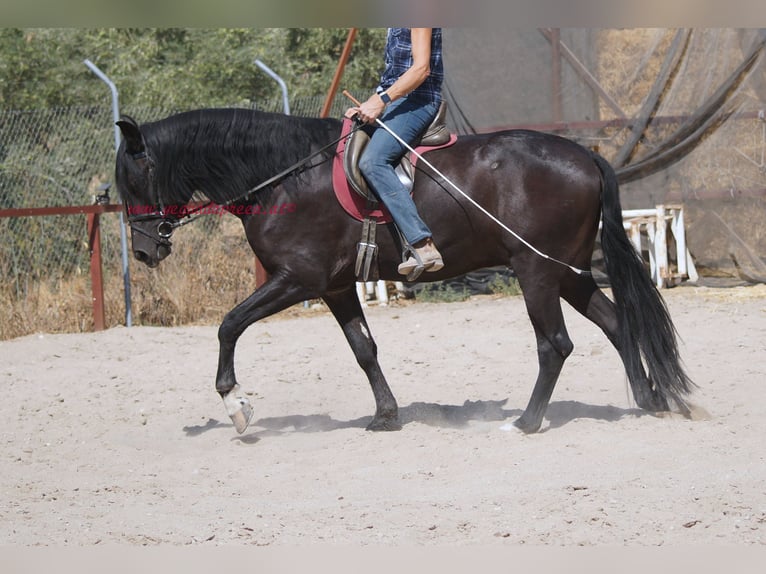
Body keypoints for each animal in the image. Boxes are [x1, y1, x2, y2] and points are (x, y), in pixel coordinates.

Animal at [114, 108, 696, 436]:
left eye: (133, 179)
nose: (143, 251)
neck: (285, 177)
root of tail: (584, 155)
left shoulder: (297, 280)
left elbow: (229, 325)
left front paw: (236, 405)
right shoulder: (334, 287)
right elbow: (364, 349)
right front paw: (386, 416)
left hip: (535, 272)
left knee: (555, 344)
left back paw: (528, 423)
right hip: (567, 272)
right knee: (618, 324)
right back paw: (649, 401)